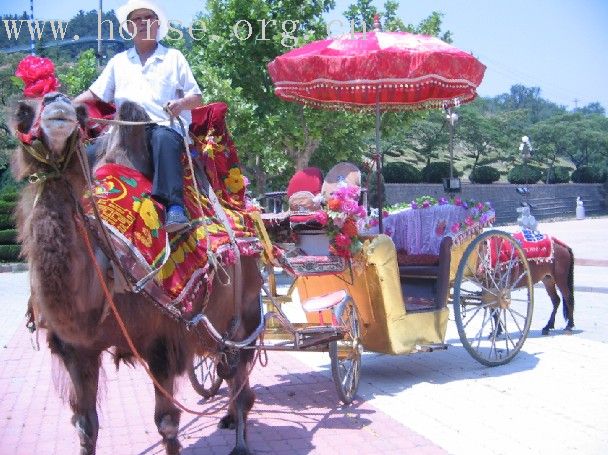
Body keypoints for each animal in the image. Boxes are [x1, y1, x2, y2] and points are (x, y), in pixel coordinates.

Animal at [11, 93, 264, 455]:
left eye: (79, 113)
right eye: (22, 112)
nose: (58, 106)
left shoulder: (161, 341)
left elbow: (167, 423)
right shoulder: (75, 348)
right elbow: (85, 426)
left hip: (247, 311)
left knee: (238, 374)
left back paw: (241, 441)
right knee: (225, 367)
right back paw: (228, 418)